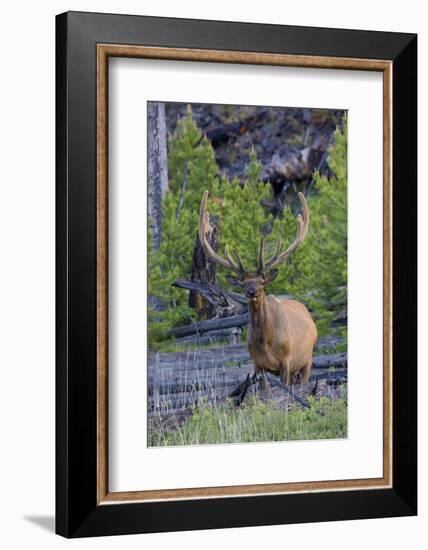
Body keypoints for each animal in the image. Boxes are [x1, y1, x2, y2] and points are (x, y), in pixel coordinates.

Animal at [199, 192, 316, 390]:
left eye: (262, 282)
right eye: (242, 284)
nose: (252, 292)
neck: (266, 342)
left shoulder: (286, 361)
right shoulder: (257, 365)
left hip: (307, 360)